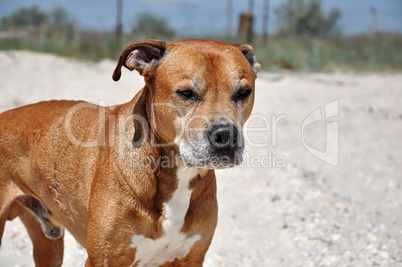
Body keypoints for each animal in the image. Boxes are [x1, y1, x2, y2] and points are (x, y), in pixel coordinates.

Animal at [0, 38, 260, 266]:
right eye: (186, 93)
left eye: (244, 92)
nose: (226, 135)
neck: (173, 174)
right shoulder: (103, 260)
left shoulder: (190, 259)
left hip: (48, 246)